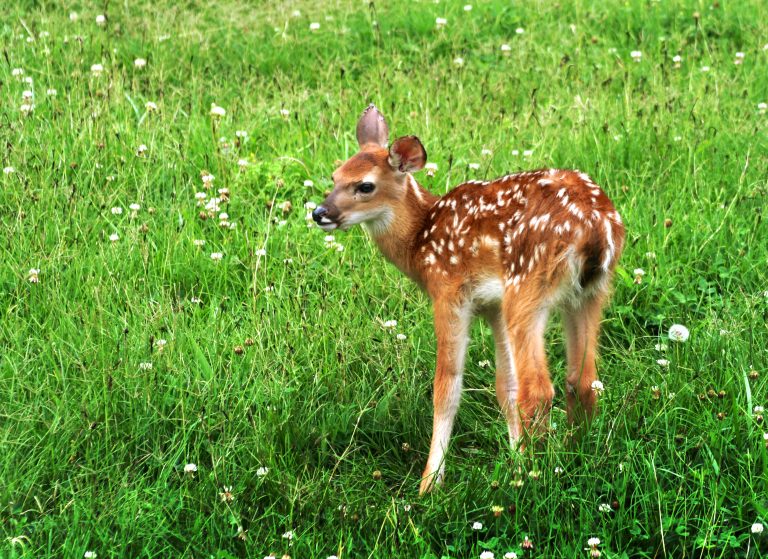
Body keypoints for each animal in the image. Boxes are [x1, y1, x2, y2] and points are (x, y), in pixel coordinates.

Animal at [312, 105, 625, 494]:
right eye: (335, 175)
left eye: (365, 185)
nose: (320, 213)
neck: (421, 241)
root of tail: (596, 228)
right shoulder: (492, 306)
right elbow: (505, 386)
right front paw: (514, 457)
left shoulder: (449, 292)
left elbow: (446, 388)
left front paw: (429, 483)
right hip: (589, 294)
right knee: (582, 380)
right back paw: (572, 454)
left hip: (527, 286)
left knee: (538, 389)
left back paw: (536, 474)